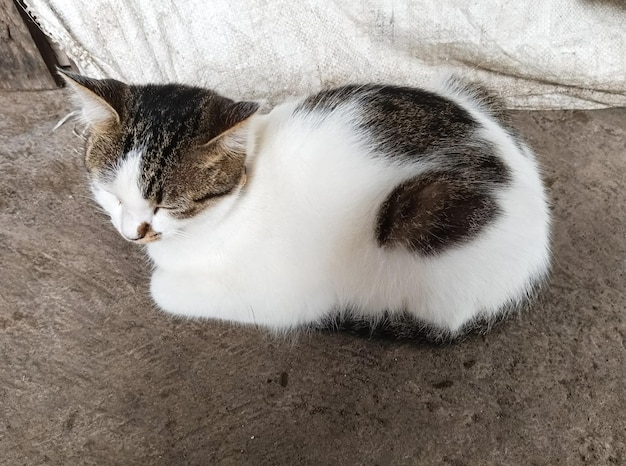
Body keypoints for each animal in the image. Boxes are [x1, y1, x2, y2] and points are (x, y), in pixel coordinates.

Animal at [57, 69, 544, 338]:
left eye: (169, 204)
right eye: (110, 193)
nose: (132, 232)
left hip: (422, 218)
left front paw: (163, 281)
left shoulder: (285, 293)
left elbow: (162, 290)